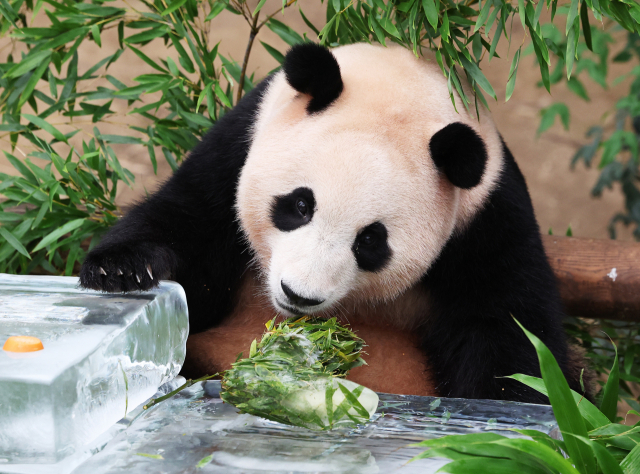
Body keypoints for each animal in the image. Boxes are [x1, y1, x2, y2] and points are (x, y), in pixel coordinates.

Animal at [80, 41, 592, 404]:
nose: (298, 295)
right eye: (300, 205)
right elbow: (188, 227)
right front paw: (122, 270)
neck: (405, 87)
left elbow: (511, 337)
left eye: (370, 241)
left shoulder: (486, 220)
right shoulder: (237, 148)